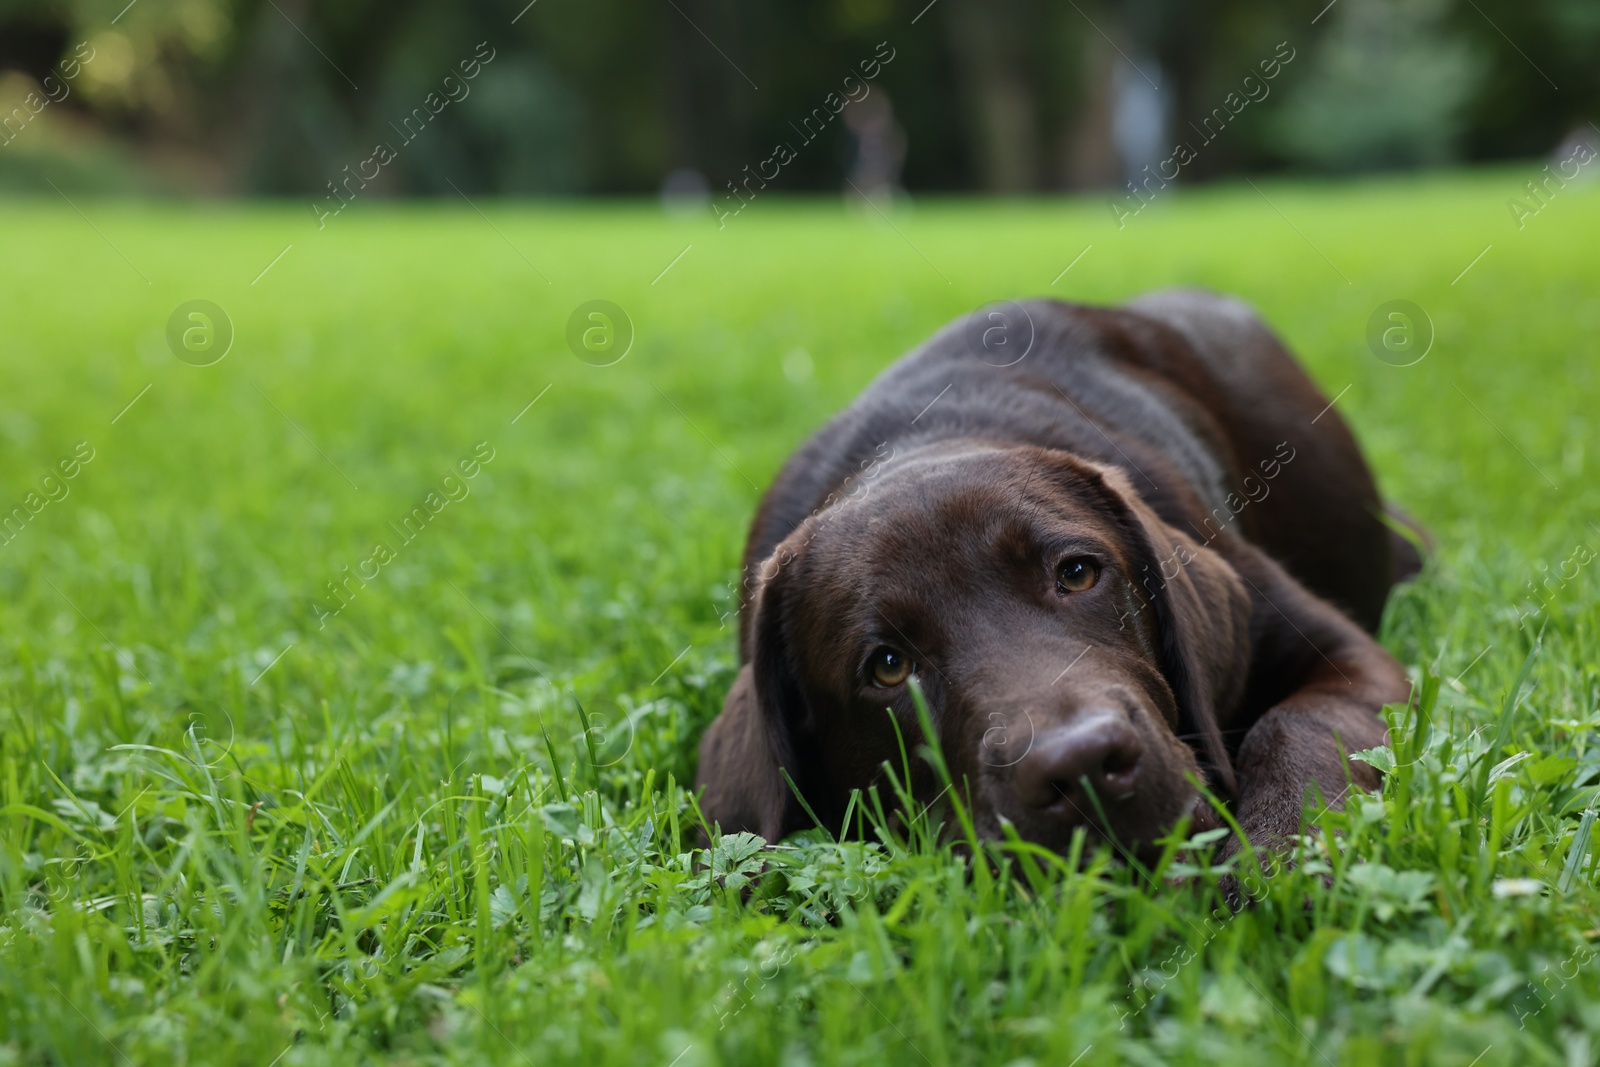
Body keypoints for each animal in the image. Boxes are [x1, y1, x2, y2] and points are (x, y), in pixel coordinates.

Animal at [694, 292, 1420, 870]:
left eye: (1077, 573)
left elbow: (1298, 724)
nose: (1081, 764)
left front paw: (1281, 849)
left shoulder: (1341, 651)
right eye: (888, 667)